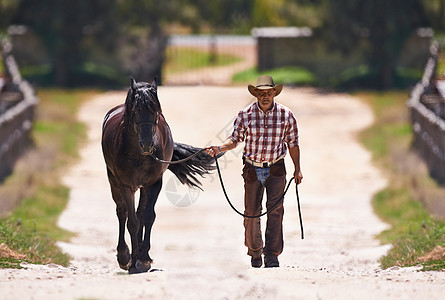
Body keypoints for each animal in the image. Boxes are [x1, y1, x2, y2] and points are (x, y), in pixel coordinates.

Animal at [100, 78, 213, 274]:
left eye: (156, 112)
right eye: (135, 112)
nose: (147, 145)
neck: (138, 155)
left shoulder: (153, 184)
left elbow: (147, 217)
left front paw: (143, 259)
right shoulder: (126, 186)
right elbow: (132, 222)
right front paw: (132, 262)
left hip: (143, 187)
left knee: (139, 213)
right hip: (114, 182)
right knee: (122, 213)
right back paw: (125, 257)